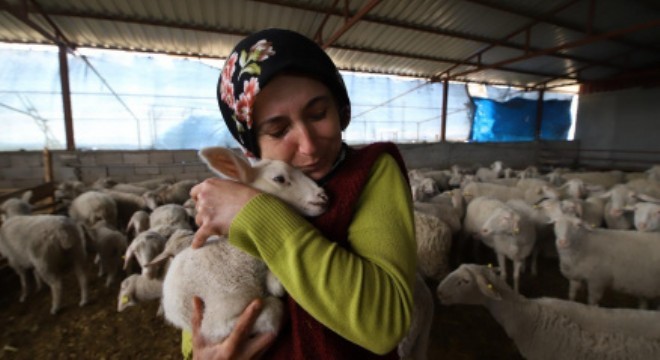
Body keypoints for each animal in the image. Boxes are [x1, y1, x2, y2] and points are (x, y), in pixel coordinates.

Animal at [162, 146, 328, 344]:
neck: (236, 256)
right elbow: (274, 309)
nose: (323, 196)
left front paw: (275, 283)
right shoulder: (215, 324)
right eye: (279, 178)